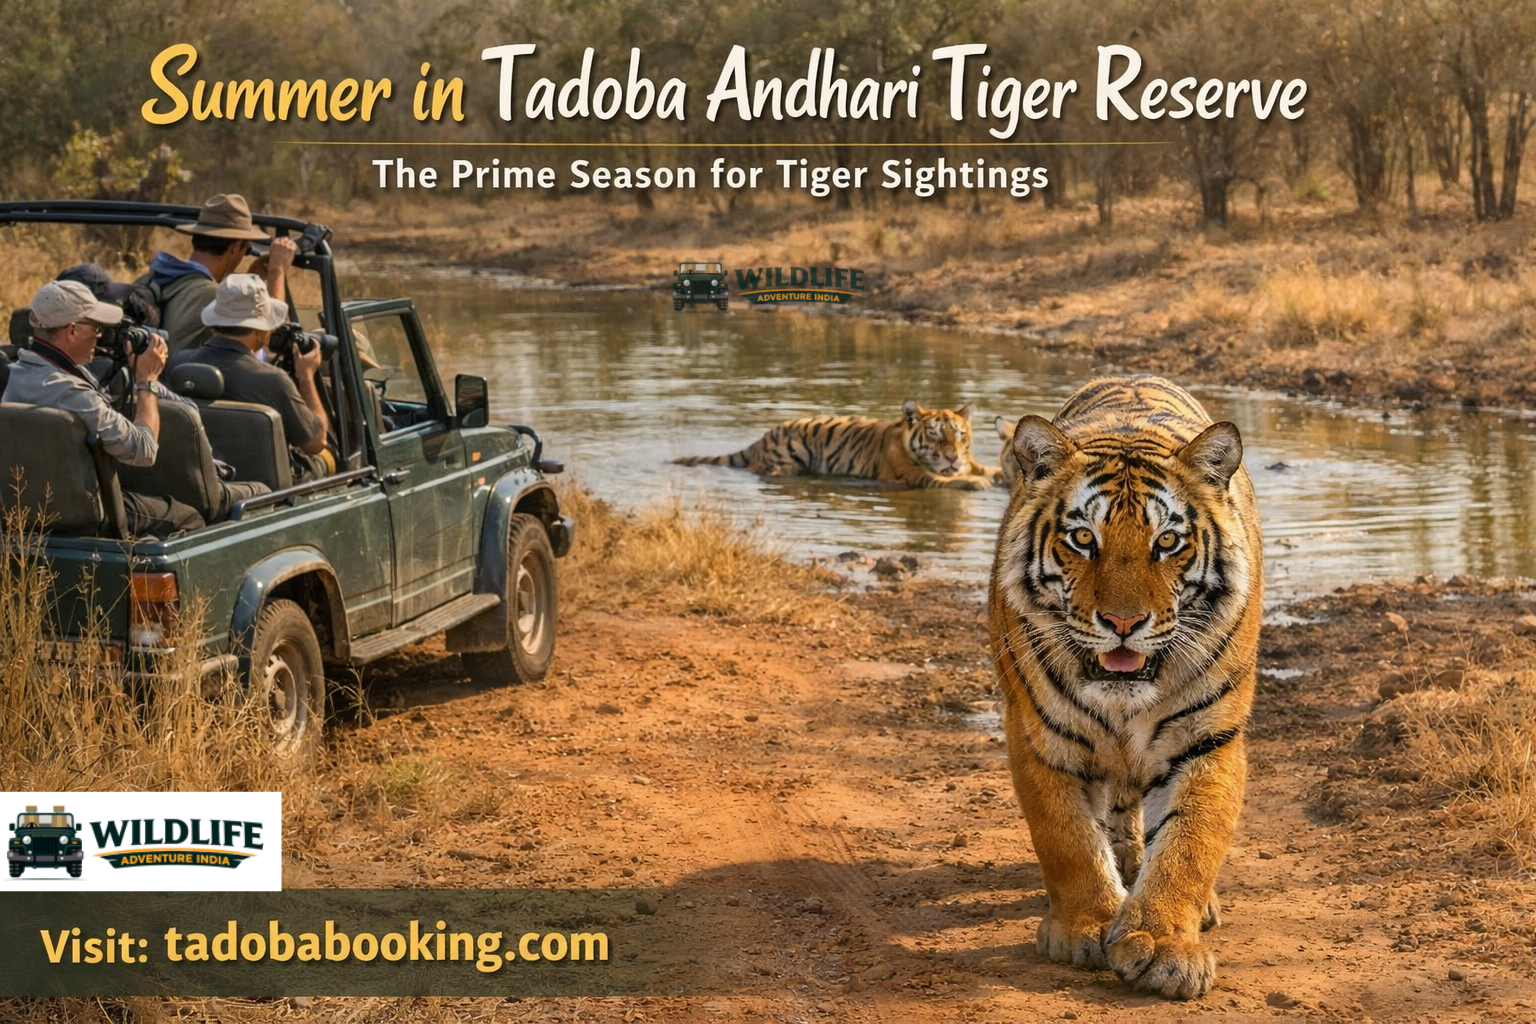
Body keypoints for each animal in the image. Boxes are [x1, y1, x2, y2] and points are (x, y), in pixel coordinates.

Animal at [673, 400, 999, 489]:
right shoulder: (911, 474)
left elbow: (993, 470)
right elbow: (941, 480)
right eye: (934, 435)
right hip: (789, 457)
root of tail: (760, 439)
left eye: (960, 435)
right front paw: (976, 484)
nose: (952, 458)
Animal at [987, 375, 1262, 1000]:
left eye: (1168, 543)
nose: (1122, 622)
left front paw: (1163, 944)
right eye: (1082, 538)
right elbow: (1067, 838)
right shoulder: (1040, 736)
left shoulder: (1207, 740)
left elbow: (1189, 843)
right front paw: (1086, 926)